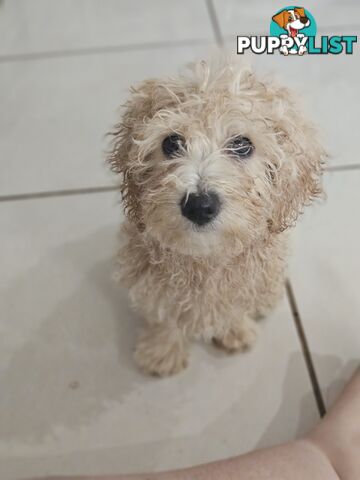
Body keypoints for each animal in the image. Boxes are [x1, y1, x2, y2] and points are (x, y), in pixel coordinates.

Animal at [108, 58, 324, 376]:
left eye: (242, 145)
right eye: (171, 143)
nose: (199, 206)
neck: (205, 260)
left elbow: (235, 305)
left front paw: (234, 330)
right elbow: (163, 311)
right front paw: (162, 351)